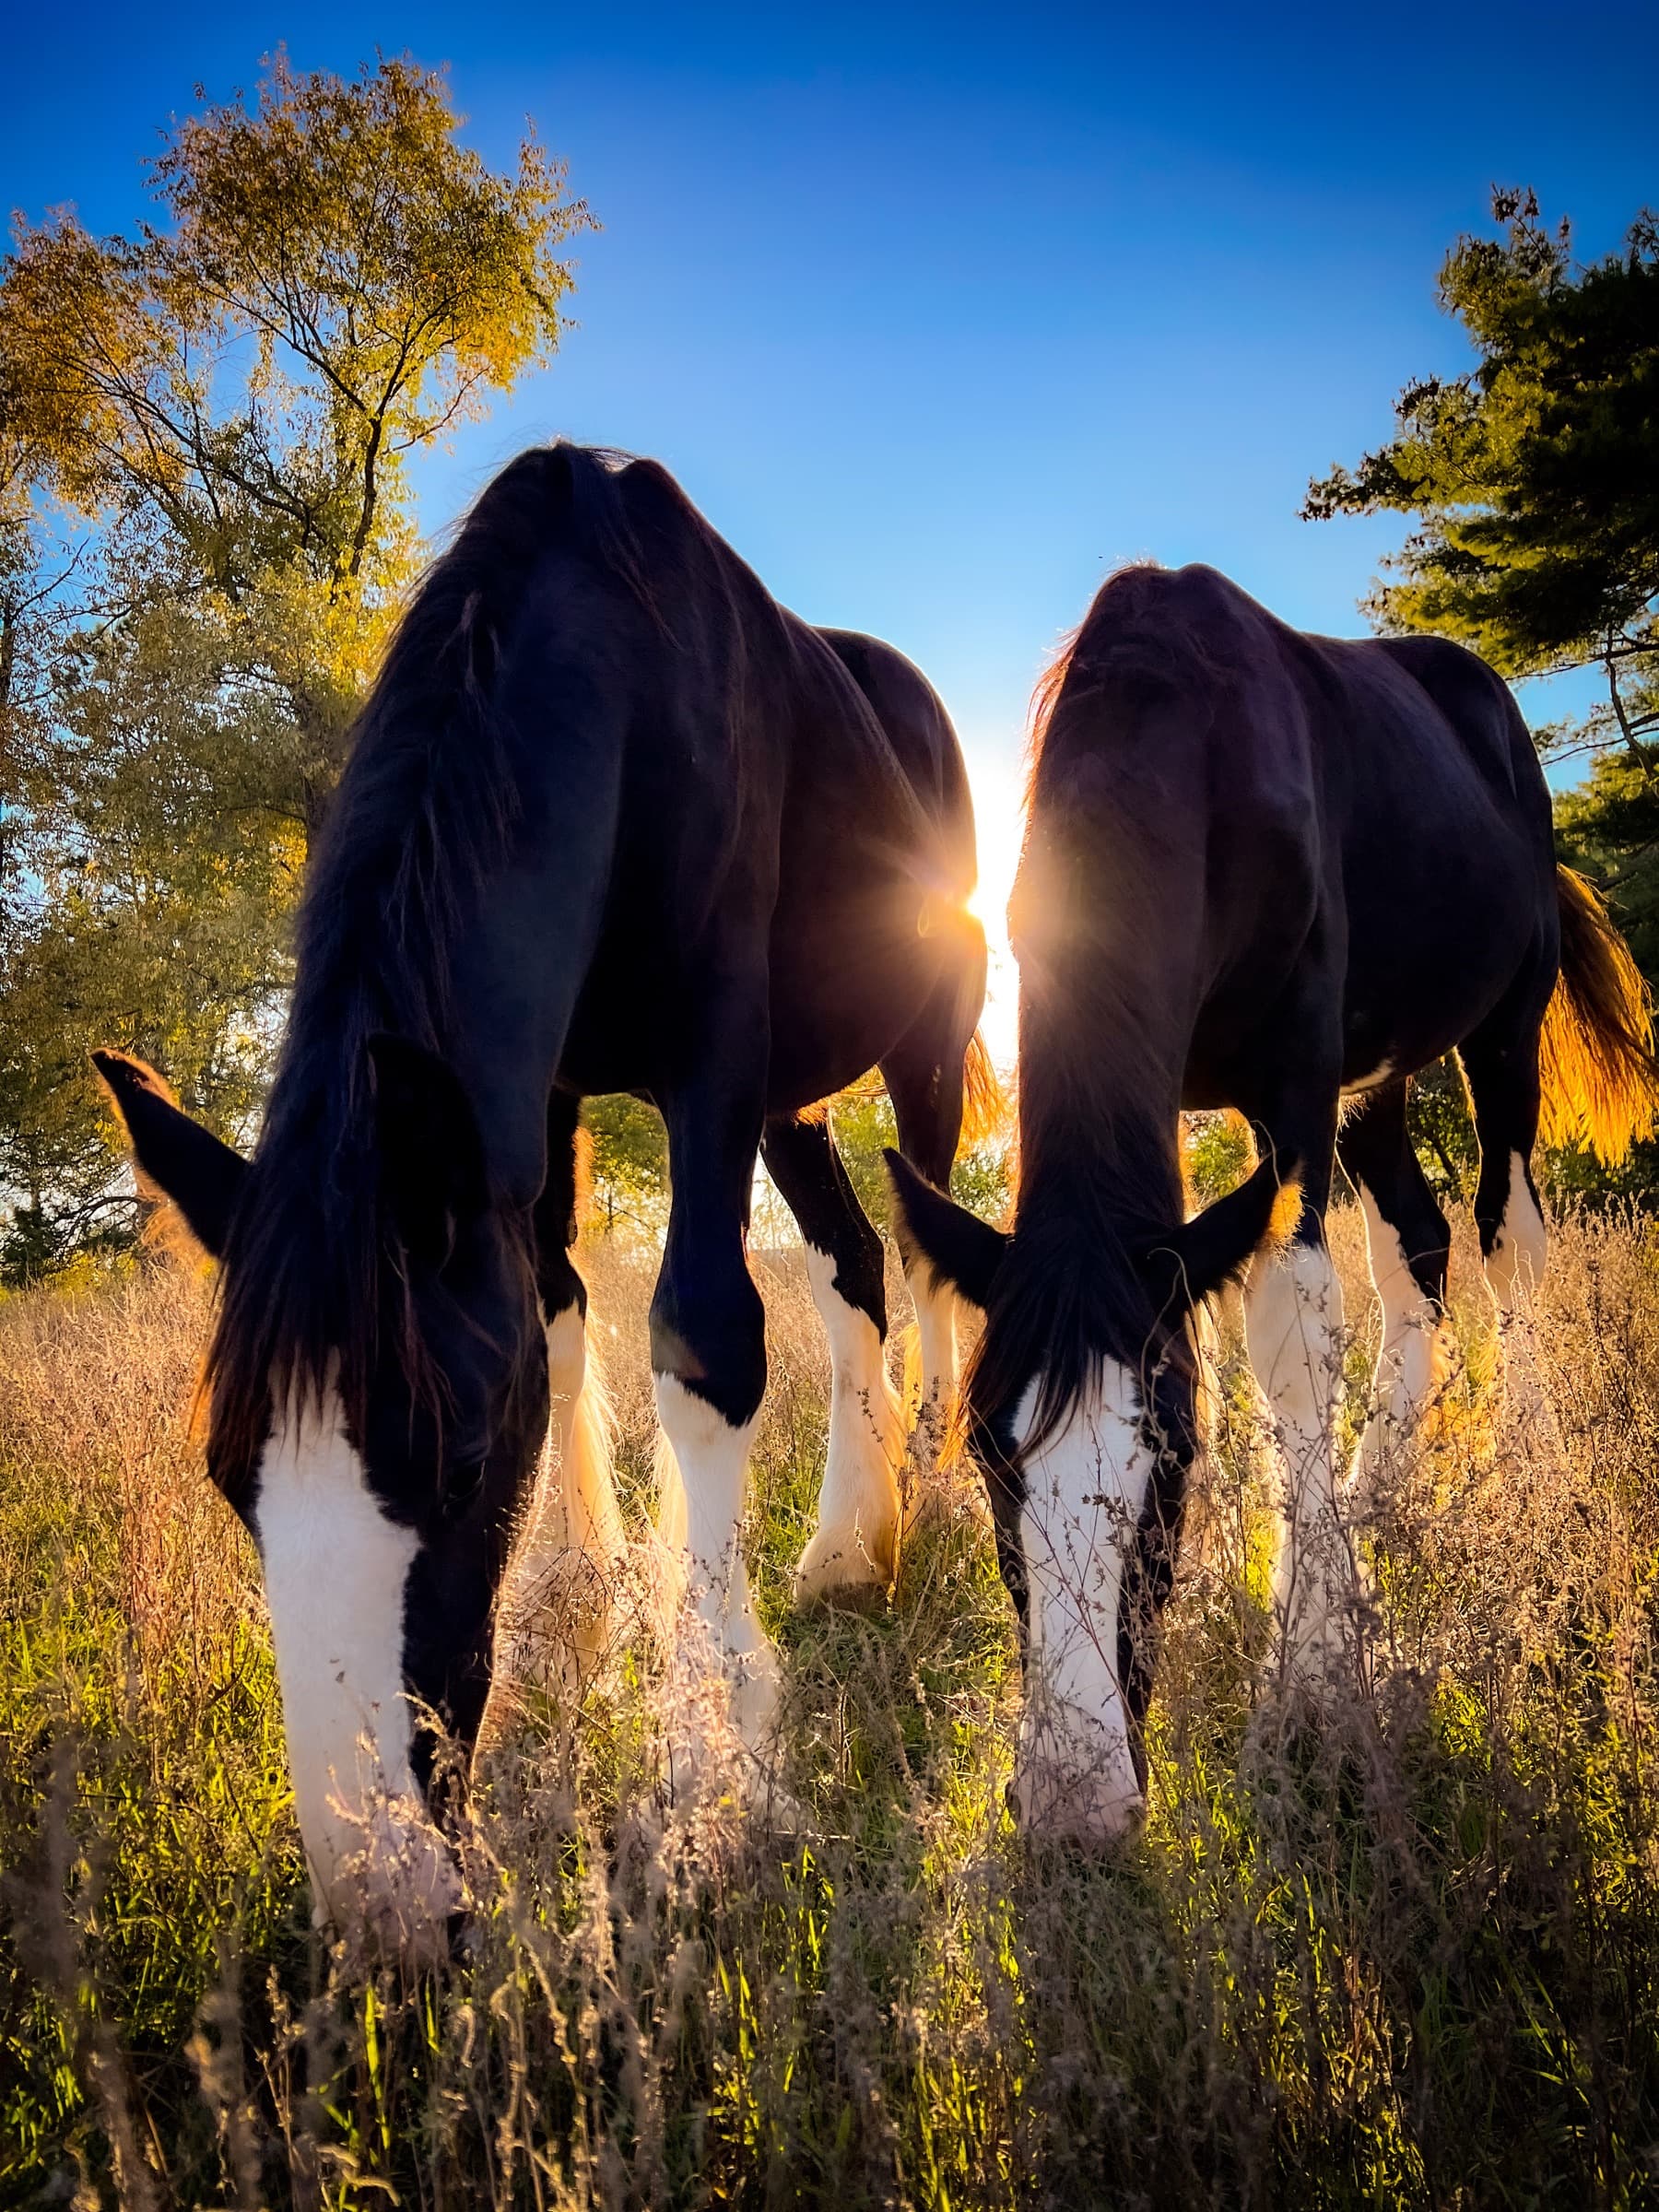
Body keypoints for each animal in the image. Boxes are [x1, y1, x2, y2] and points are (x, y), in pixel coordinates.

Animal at [92, 442, 990, 1955]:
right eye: (229, 1477)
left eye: (455, 1467)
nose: (385, 1907)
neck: (605, 650)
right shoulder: (544, 1091)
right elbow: (557, 1318)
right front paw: (580, 1626)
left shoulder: (710, 1060)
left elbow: (703, 1343)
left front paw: (719, 1745)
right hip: (796, 1103)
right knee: (852, 1268)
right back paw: (844, 1544)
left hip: (915, 1045)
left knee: (927, 1257)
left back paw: (939, 1482)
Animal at [886, 560, 1657, 1846]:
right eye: (992, 1466)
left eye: (1169, 1474)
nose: (1074, 1802)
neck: (1181, 726)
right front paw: (1317, 1574)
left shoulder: (1295, 1082)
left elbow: (1291, 1340)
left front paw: (1311, 1673)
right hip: (1380, 1080)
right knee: (1419, 1249)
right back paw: (1371, 1493)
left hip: (1503, 1028)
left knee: (1508, 1240)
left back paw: (1525, 1460)